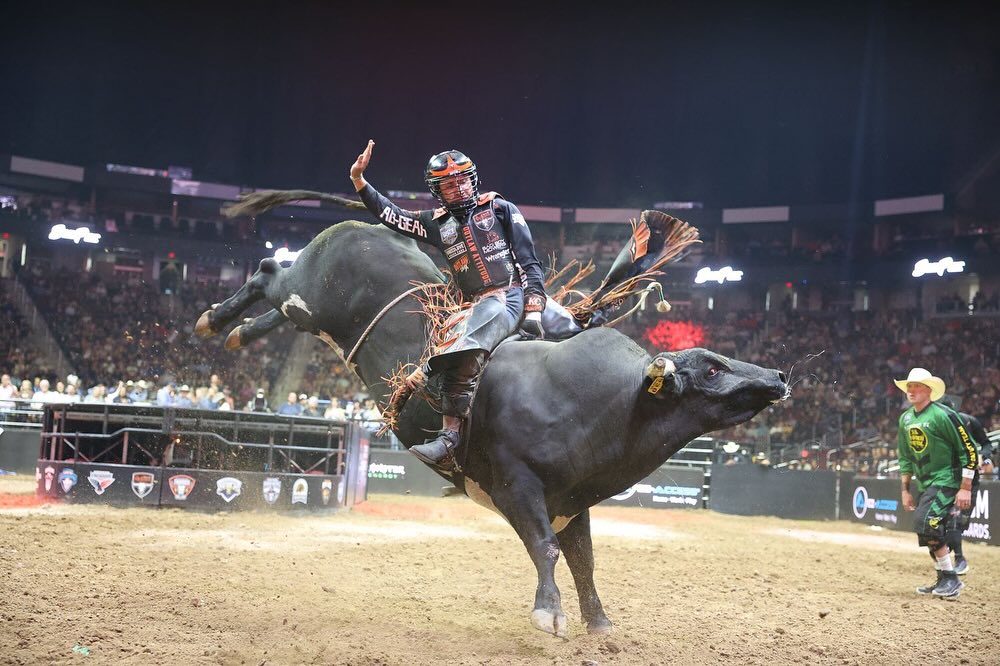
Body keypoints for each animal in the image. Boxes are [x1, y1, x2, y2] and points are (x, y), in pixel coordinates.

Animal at [195, 220, 788, 636]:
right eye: (711, 369)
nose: (779, 376)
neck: (610, 405)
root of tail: (369, 225)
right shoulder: (516, 486)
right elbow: (546, 549)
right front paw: (549, 615)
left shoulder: (572, 501)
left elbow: (584, 560)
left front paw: (599, 622)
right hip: (308, 291)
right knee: (269, 270)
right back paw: (215, 319)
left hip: (309, 313)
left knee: (277, 304)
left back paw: (241, 333)